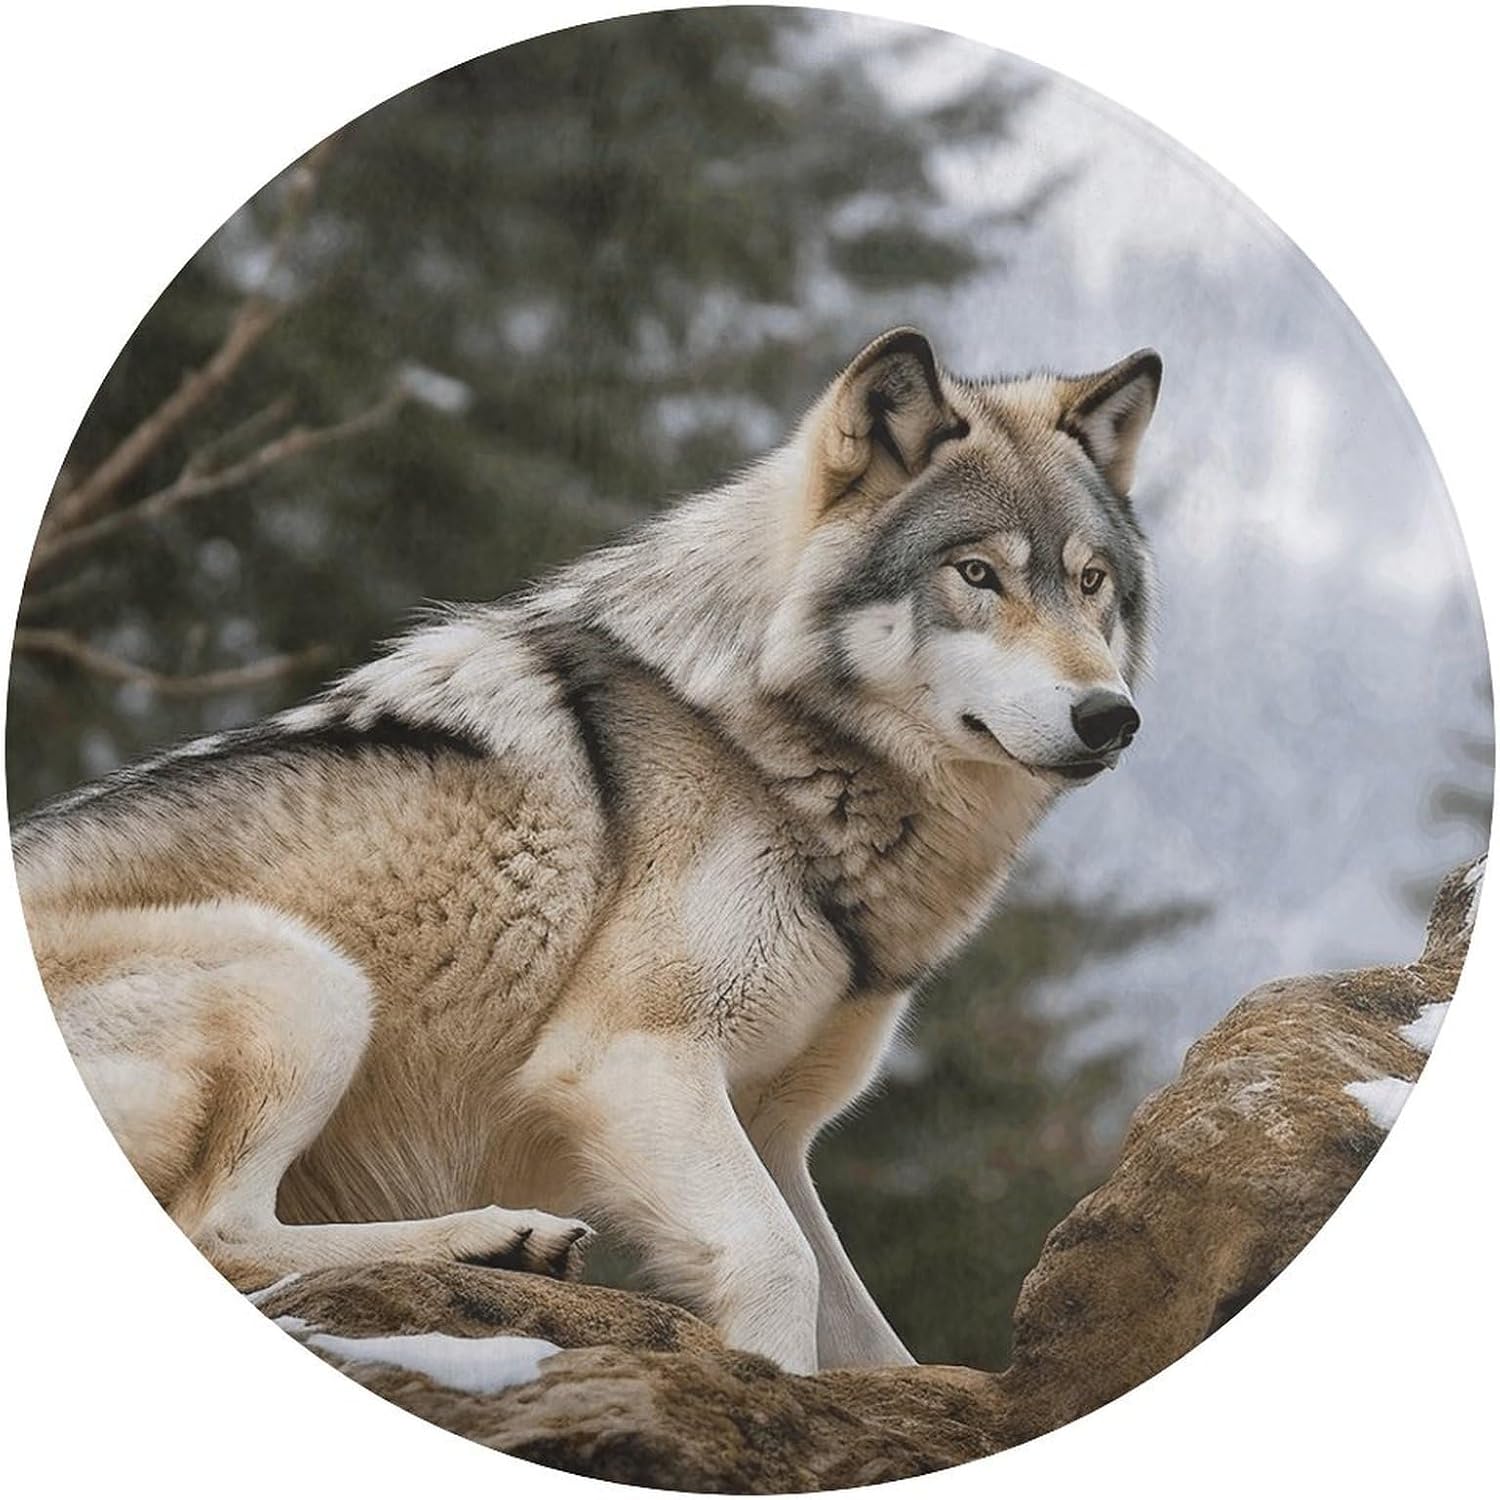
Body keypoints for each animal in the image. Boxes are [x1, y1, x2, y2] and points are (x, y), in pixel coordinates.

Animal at [14, 328, 1160, 1374]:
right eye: (977, 574)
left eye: (1090, 581)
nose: (1111, 718)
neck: (764, 751)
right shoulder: (628, 1062)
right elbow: (777, 1264)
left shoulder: (771, 1134)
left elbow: (880, 1348)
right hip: (309, 977)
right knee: (218, 1229)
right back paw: (487, 1240)